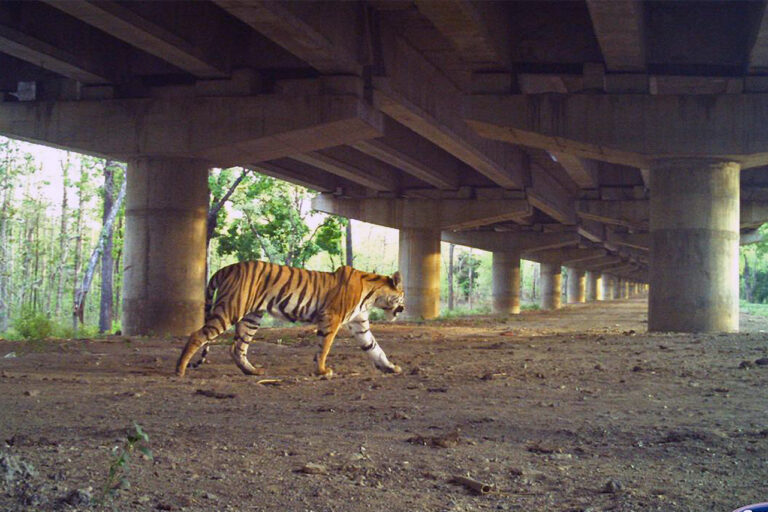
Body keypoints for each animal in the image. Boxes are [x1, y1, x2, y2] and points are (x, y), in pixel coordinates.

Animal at [175, 260, 405, 378]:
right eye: (402, 295)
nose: (403, 308)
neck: (372, 296)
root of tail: (227, 268)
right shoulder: (331, 318)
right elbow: (324, 347)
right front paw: (322, 371)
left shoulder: (359, 324)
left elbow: (374, 348)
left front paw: (390, 367)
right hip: (230, 309)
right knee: (198, 335)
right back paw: (180, 370)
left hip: (252, 317)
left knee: (237, 348)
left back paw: (253, 371)